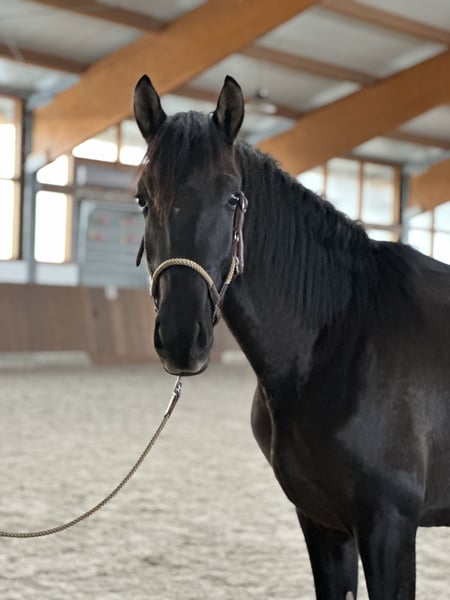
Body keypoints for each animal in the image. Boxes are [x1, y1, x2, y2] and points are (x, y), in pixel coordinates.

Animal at [133, 74, 450, 599]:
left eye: (233, 198)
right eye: (142, 197)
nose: (181, 338)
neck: (340, 340)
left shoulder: (389, 527)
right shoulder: (322, 523)